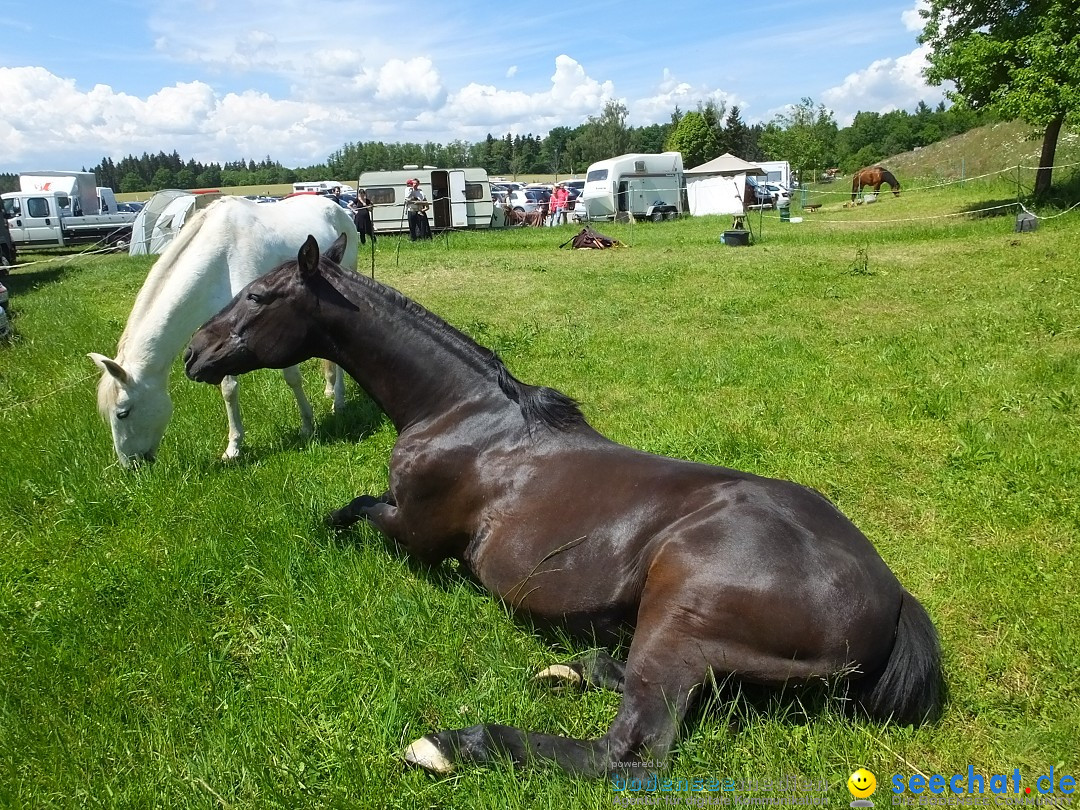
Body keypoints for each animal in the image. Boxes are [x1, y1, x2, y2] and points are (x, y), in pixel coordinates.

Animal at [89, 192, 358, 466]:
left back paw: (338, 401)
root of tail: (334, 204)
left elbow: (291, 377)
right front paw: (234, 447)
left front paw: (307, 425)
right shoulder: (223, 337)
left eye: (122, 413)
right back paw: (330, 390)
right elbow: (228, 389)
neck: (221, 256)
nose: (131, 465)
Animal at [187, 234, 946, 781]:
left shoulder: (413, 531)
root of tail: (892, 600)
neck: (465, 415)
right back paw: (571, 668)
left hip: (680, 618)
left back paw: (453, 744)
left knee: (627, 750)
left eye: (258, 295)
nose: (195, 351)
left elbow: (352, 511)